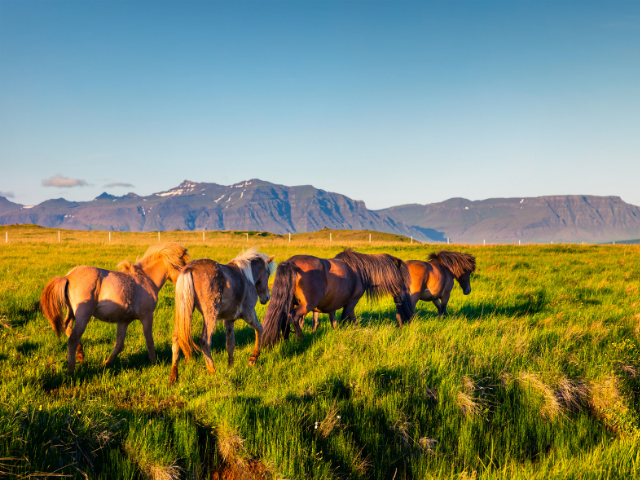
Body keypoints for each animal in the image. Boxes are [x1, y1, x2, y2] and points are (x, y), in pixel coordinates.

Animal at [40, 243, 190, 372]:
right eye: (182, 264)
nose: (184, 282)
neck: (146, 279)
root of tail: (68, 277)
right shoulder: (147, 316)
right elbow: (149, 340)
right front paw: (154, 362)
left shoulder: (124, 321)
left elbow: (119, 345)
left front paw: (106, 363)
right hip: (83, 317)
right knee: (73, 339)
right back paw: (72, 370)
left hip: (71, 313)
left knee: (67, 328)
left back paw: (80, 354)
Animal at [170, 248, 276, 384]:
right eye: (268, 273)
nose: (266, 298)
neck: (247, 277)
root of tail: (190, 269)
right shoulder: (249, 314)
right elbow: (260, 328)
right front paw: (253, 358)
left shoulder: (229, 320)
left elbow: (230, 343)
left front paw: (231, 366)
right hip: (210, 315)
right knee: (205, 340)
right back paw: (212, 372)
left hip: (184, 312)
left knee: (176, 338)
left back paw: (174, 376)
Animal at [261, 249, 413, 346]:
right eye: (402, 278)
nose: (401, 299)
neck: (359, 271)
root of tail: (291, 263)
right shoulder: (351, 302)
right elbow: (343, 320)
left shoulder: (344, 304)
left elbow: (348, 320)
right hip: (306, 305)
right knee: (293, 316)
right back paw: (300, 338)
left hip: (290, 302)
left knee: (285, 318)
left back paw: (286, 339)